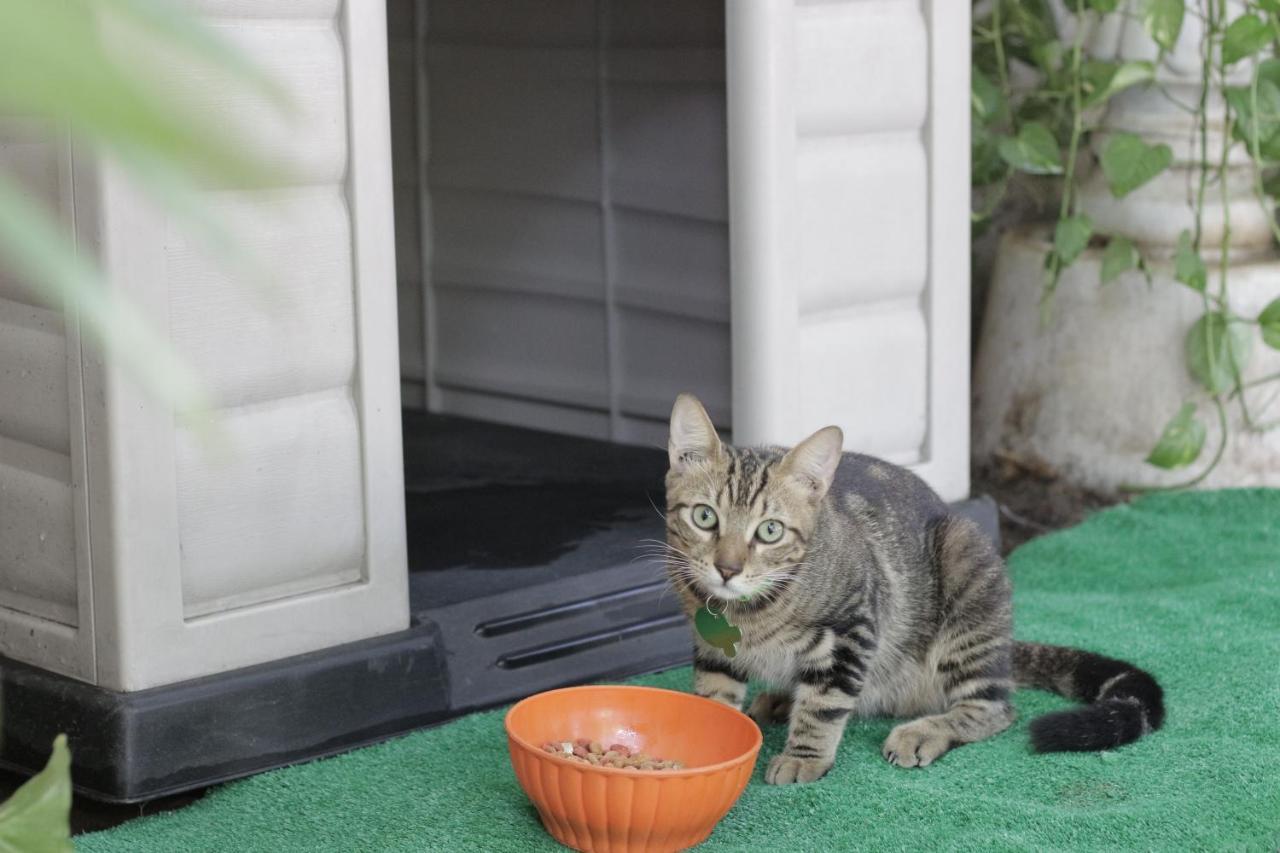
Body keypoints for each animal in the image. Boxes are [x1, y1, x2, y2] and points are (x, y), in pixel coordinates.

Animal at [665, 394, 1167, 783]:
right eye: (705, 517)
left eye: (769, 531)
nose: (727, 568)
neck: (750, 614)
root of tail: (1005, 648)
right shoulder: (709, 645)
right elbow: (715, 694)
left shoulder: (852, 628)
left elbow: (825, 702)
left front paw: (803, 756)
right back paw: (780, 698)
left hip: (966, 573)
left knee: (994, 707)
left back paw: (924, 731)